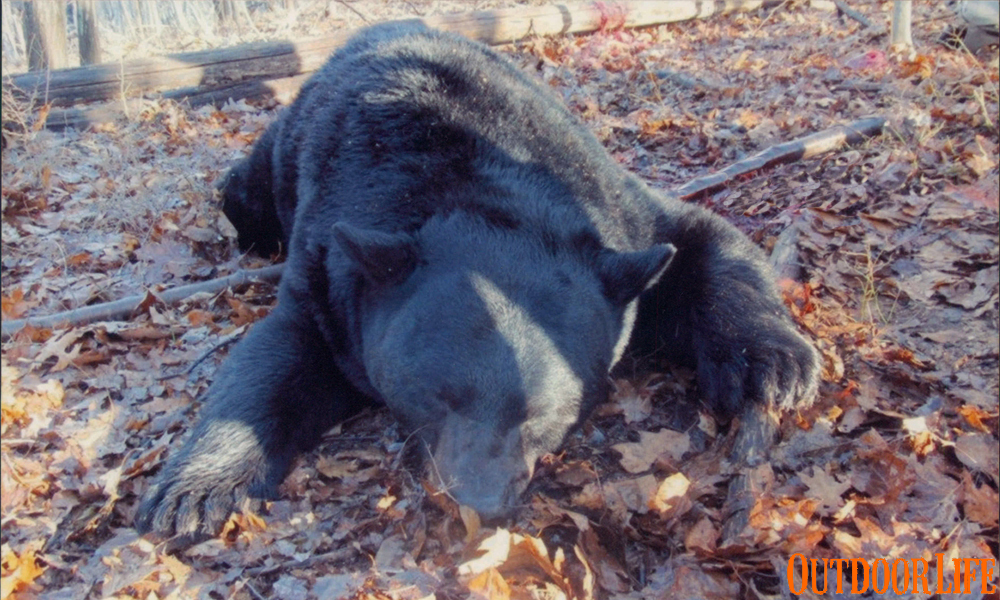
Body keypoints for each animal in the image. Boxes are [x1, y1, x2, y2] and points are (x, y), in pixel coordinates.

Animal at [135, 22, 820, 540]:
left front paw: (774, 362)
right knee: (242, 192)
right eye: (435, 397)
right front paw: (194, 491)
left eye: (548, 415)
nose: (481, 499)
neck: (480, 186)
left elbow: (705, 239)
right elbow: (273, 356)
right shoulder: (328, 269)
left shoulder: (615, 213)